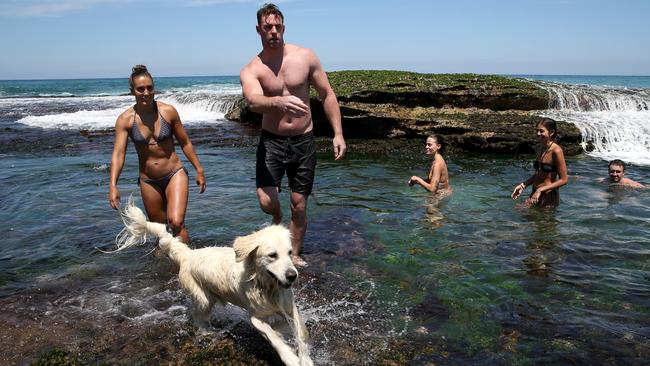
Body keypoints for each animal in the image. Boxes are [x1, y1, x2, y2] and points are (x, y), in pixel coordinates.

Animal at [113, 202, 312, 366]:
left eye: (290, 252)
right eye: (272, 255)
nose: (292, 276)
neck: (265, 285)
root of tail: (188, 254)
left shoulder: (290, 308)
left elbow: (300, 333)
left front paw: (304, 358)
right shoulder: (255, 317)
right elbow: (272, 336)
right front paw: (290, 357)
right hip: (203, 299)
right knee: (197, 315)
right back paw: (206, 331)